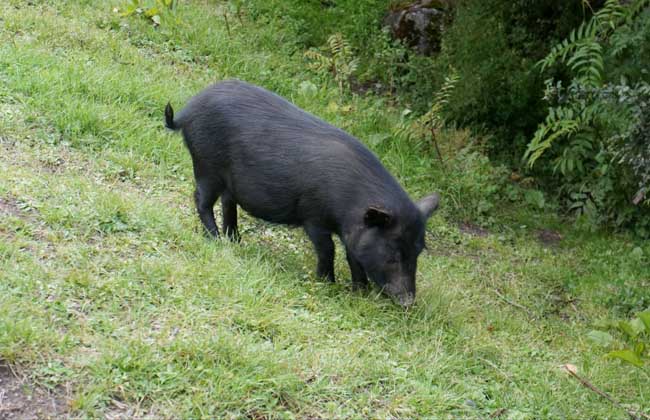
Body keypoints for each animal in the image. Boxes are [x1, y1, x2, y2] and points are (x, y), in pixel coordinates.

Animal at [165, 80, 438, 306]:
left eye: (417, 252)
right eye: (392, 256)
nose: (408, 302)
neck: (348, 208)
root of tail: (186, 112)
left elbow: (354, 257)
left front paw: (360, 293)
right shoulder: (313, 216)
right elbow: (328, 249)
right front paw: (327, 284)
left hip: (226, 180)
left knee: (227, 203)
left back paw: (235, 241)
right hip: (206, 165)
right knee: (201, 200)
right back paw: (215, 239)